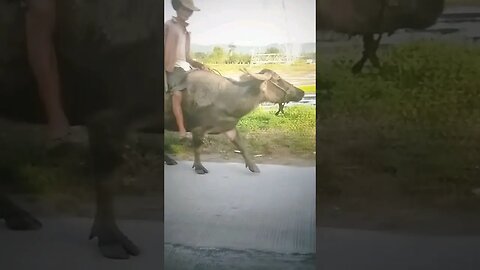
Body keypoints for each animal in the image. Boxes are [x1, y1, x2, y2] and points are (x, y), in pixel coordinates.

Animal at [164, 68, 304, 174]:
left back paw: (169, 160)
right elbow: (197, 148)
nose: (302, 92)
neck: (226, 98)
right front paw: (199, 167)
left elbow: (242, 146)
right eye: (278, 79)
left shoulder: (229, 127)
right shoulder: (197, 129)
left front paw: (253, 166)